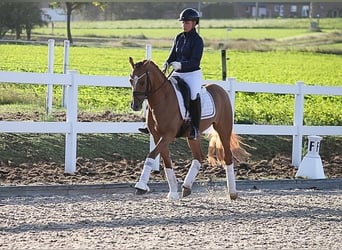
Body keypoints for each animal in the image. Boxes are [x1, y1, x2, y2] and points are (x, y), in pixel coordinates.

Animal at [128, 57, 246, 200]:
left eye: (142, 81)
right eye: (131, 80)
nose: (135, 106)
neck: (163, 99)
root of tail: (220, 89)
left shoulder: (168, 135)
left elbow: (151, 155)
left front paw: (140, 186)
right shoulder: (157, 136)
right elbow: (166, 162)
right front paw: (173, 193)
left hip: (223, 129)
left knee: (228, 157)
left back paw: (232, 193)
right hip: (192, 135)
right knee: (198, 157)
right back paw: (186, 187)